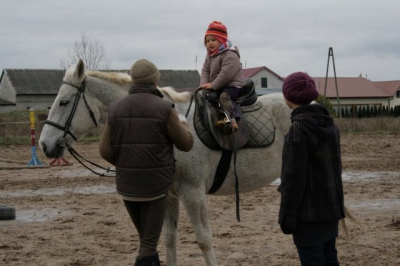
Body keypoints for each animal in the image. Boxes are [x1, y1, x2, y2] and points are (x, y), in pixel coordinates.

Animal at [39, 59, 292, 264]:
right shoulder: (170, 194)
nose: (44, 145)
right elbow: (170, 239)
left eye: (63, 102)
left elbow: (204, 240)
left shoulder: (193, 193)